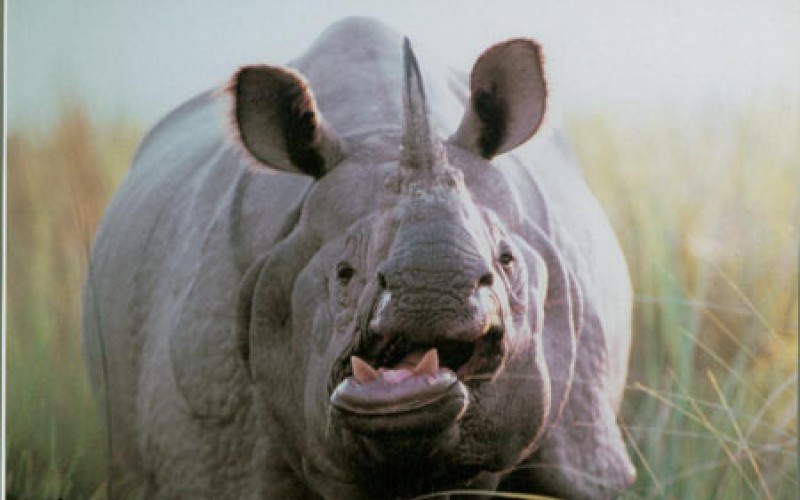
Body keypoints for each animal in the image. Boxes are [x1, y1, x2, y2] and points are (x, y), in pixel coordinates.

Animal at [83, 16, 635, 499]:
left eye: (506, 260)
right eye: (343, 273)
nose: (433, 292)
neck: (381, 130)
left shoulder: (587, 450)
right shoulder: (213, 453)